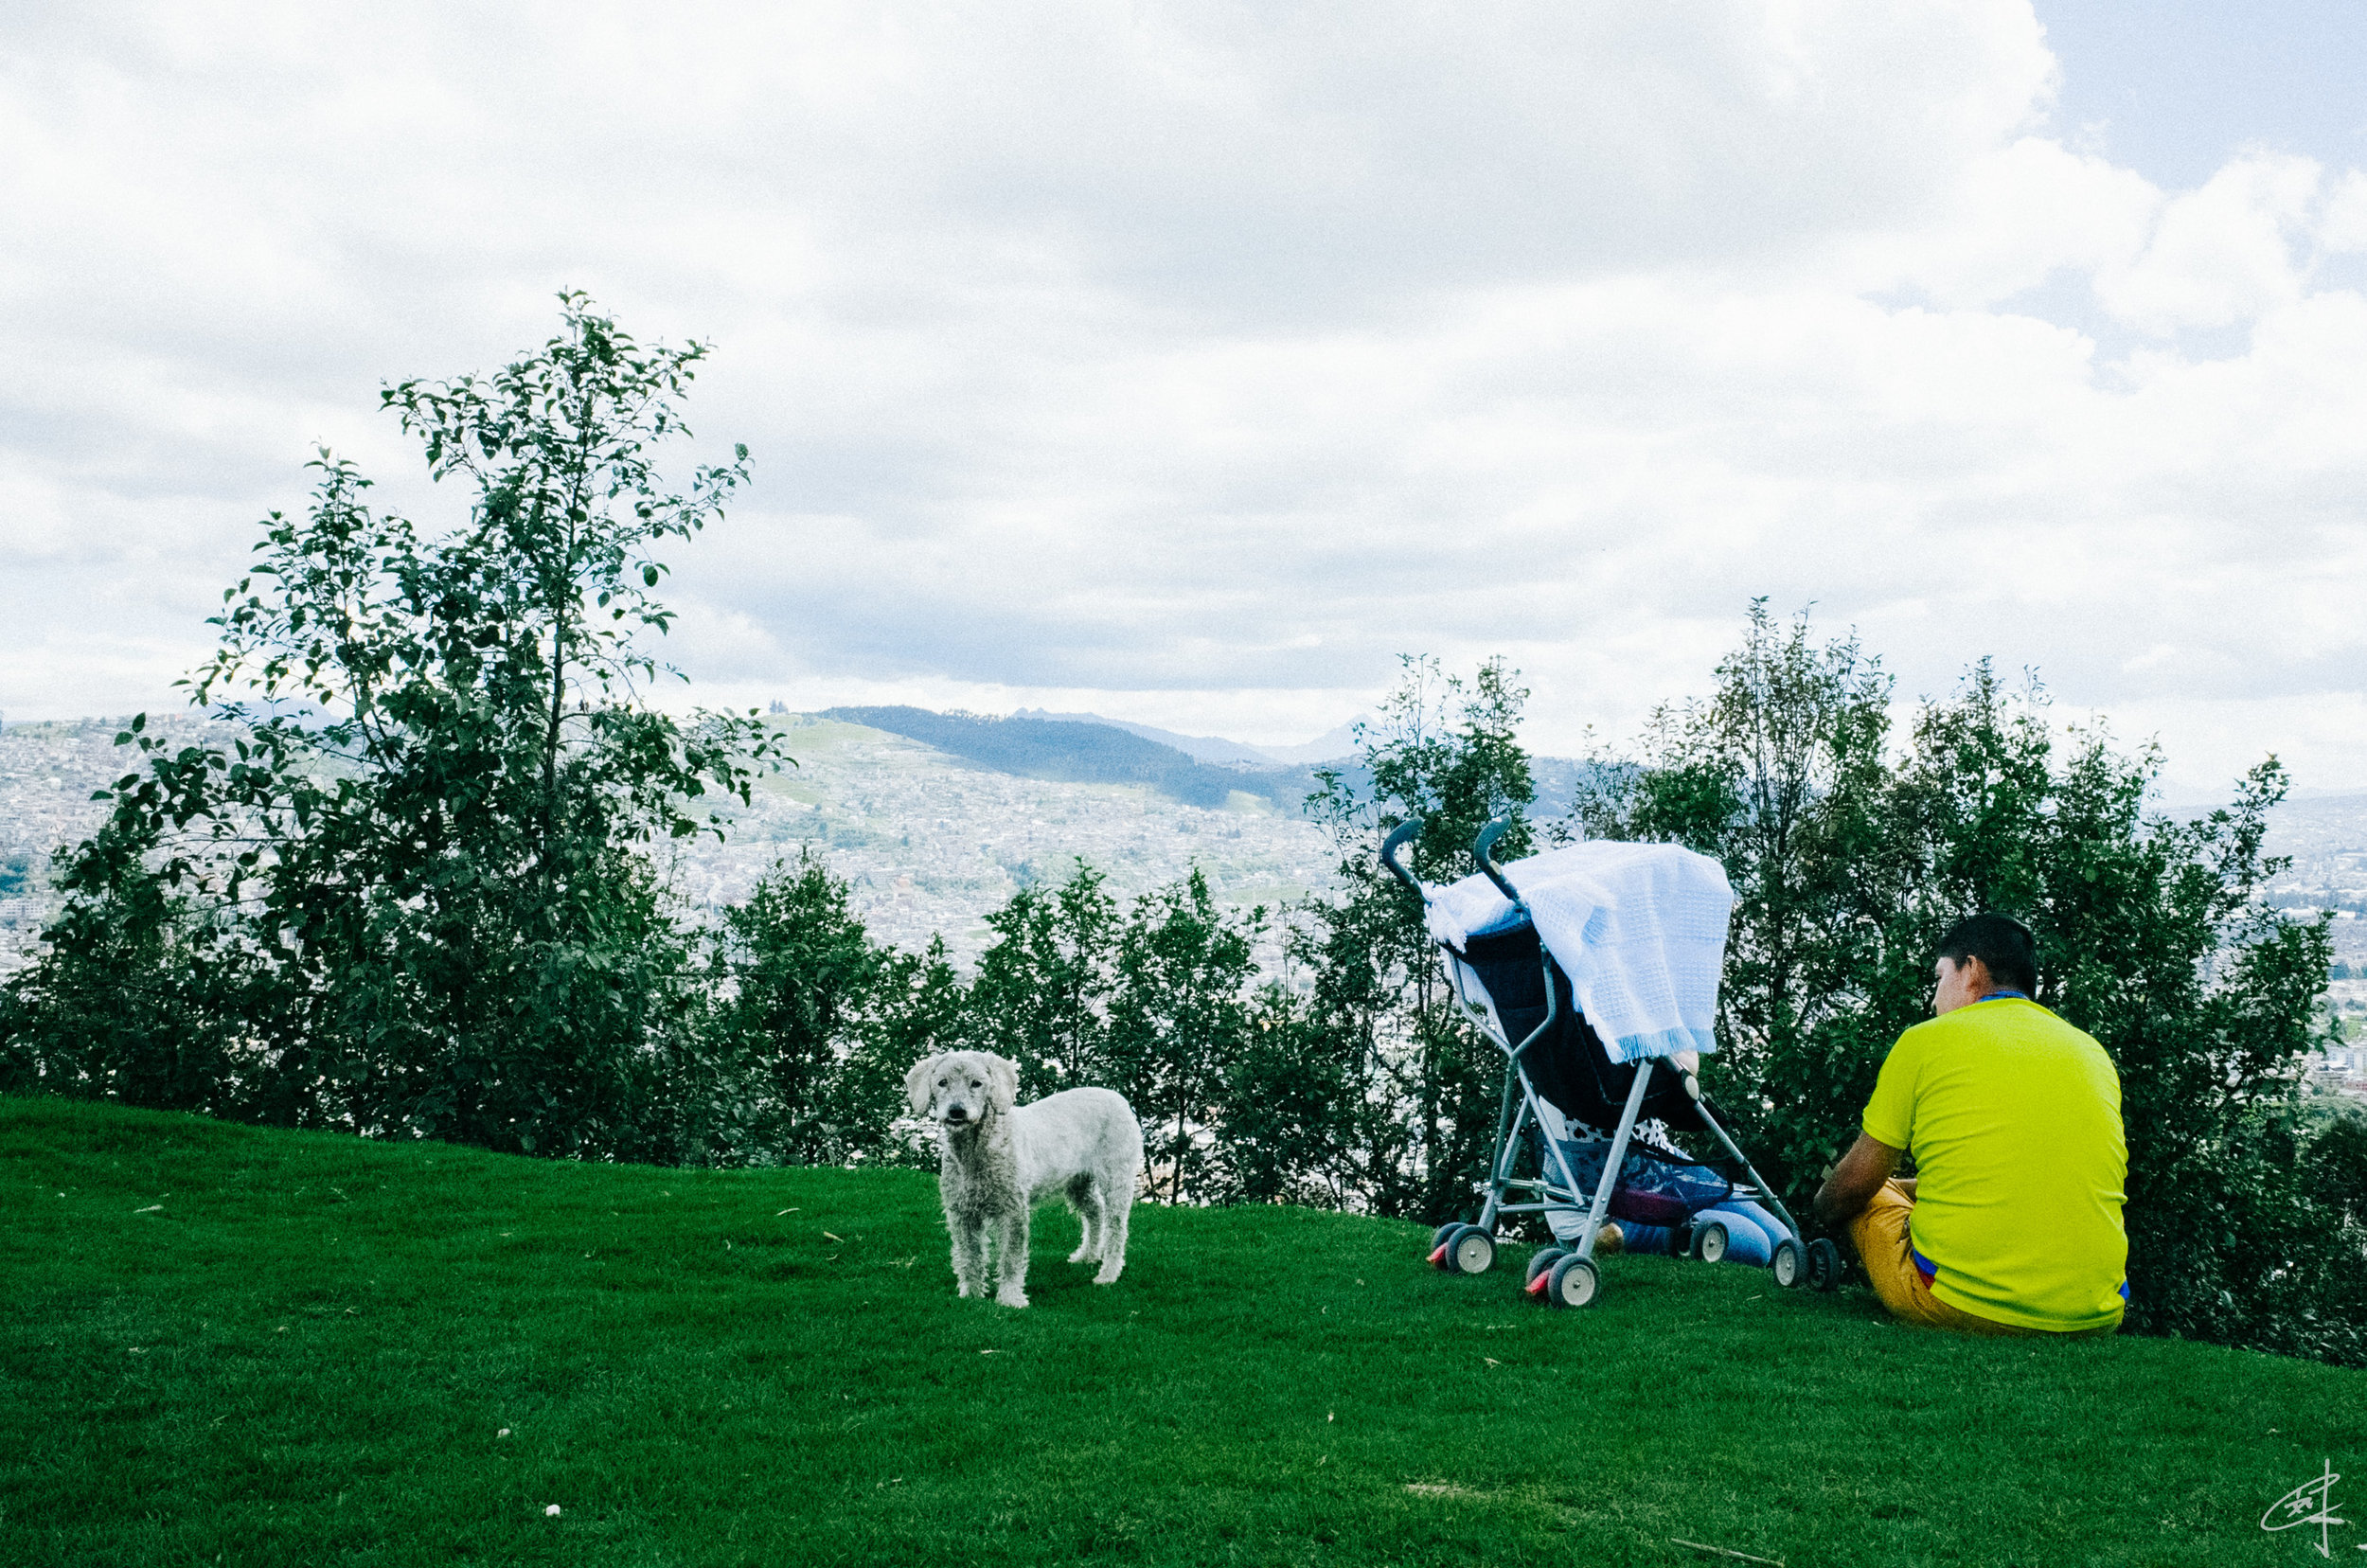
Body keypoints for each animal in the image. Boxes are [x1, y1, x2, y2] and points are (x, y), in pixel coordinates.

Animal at [899, 1056, 1141, 1316]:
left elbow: (1011, 1257)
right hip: (1078, 1182)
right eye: (942, 1082)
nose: (956, 1111)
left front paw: (1010, 1298)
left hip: (1116, 1177)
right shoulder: (962, 1212)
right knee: (1095, 1212)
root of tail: (1118, 1098)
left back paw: (1108, 1274)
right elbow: (969, 1255)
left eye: (977, 1083)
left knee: (1116, 1227)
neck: (979, 1147)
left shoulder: (1012, 1210)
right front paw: (971, 1295)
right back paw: (1088, 1255)